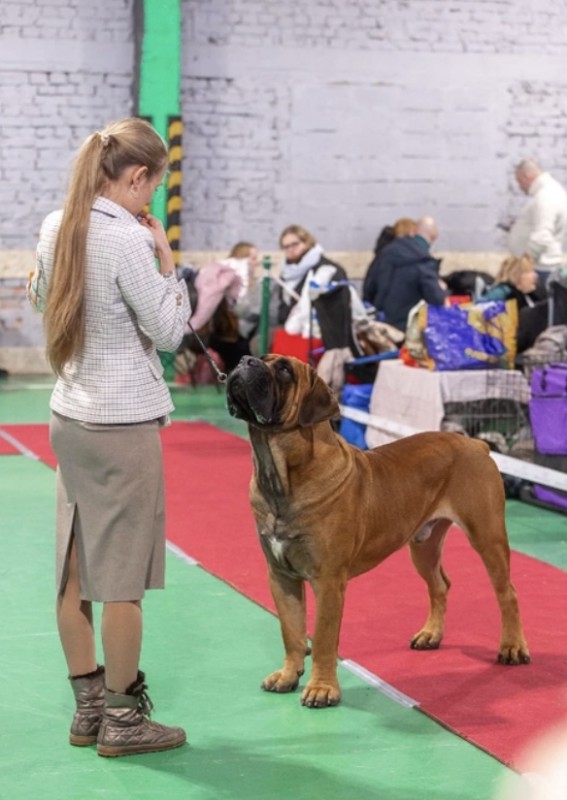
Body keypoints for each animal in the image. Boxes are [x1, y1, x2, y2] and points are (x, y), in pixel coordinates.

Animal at [226, 354, 530, 708]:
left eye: (285, 370)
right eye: (260, 360)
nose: (245, 360)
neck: (280, 473)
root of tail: (476, 443)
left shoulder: (328, 581)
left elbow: (324, 637)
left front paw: (322, 688)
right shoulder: (281, 576)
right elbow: (291, 630)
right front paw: (288, 675)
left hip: (487, 536)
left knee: (507, 592)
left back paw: (512, 647)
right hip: (423, 545)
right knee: (440, 585)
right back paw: (431, 634)